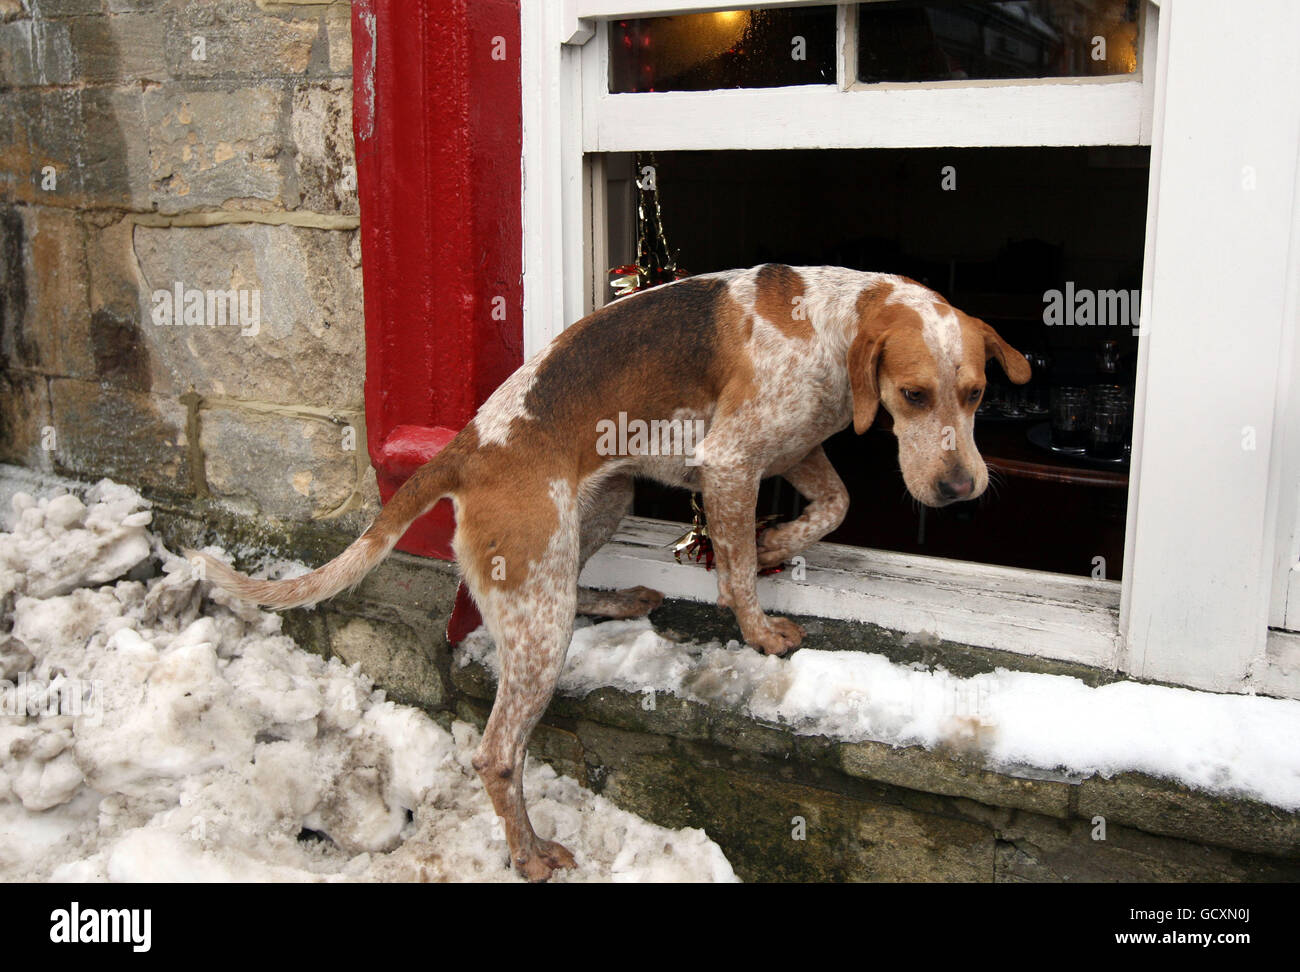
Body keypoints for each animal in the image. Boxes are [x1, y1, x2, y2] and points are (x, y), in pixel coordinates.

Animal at [188, 263, 1029, 878]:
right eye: (913, 395)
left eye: (976, 393)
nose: (962, 490)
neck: (828, 321)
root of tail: (464, 448)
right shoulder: (731, 463)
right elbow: (736, 576)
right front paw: (759, 626)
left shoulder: (792, 449)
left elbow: (833, 508)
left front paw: (777, 542)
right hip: (538, 613)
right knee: (497, 752)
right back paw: (529, 853)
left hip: (597, 512)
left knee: (567, 596)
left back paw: (621, 601)